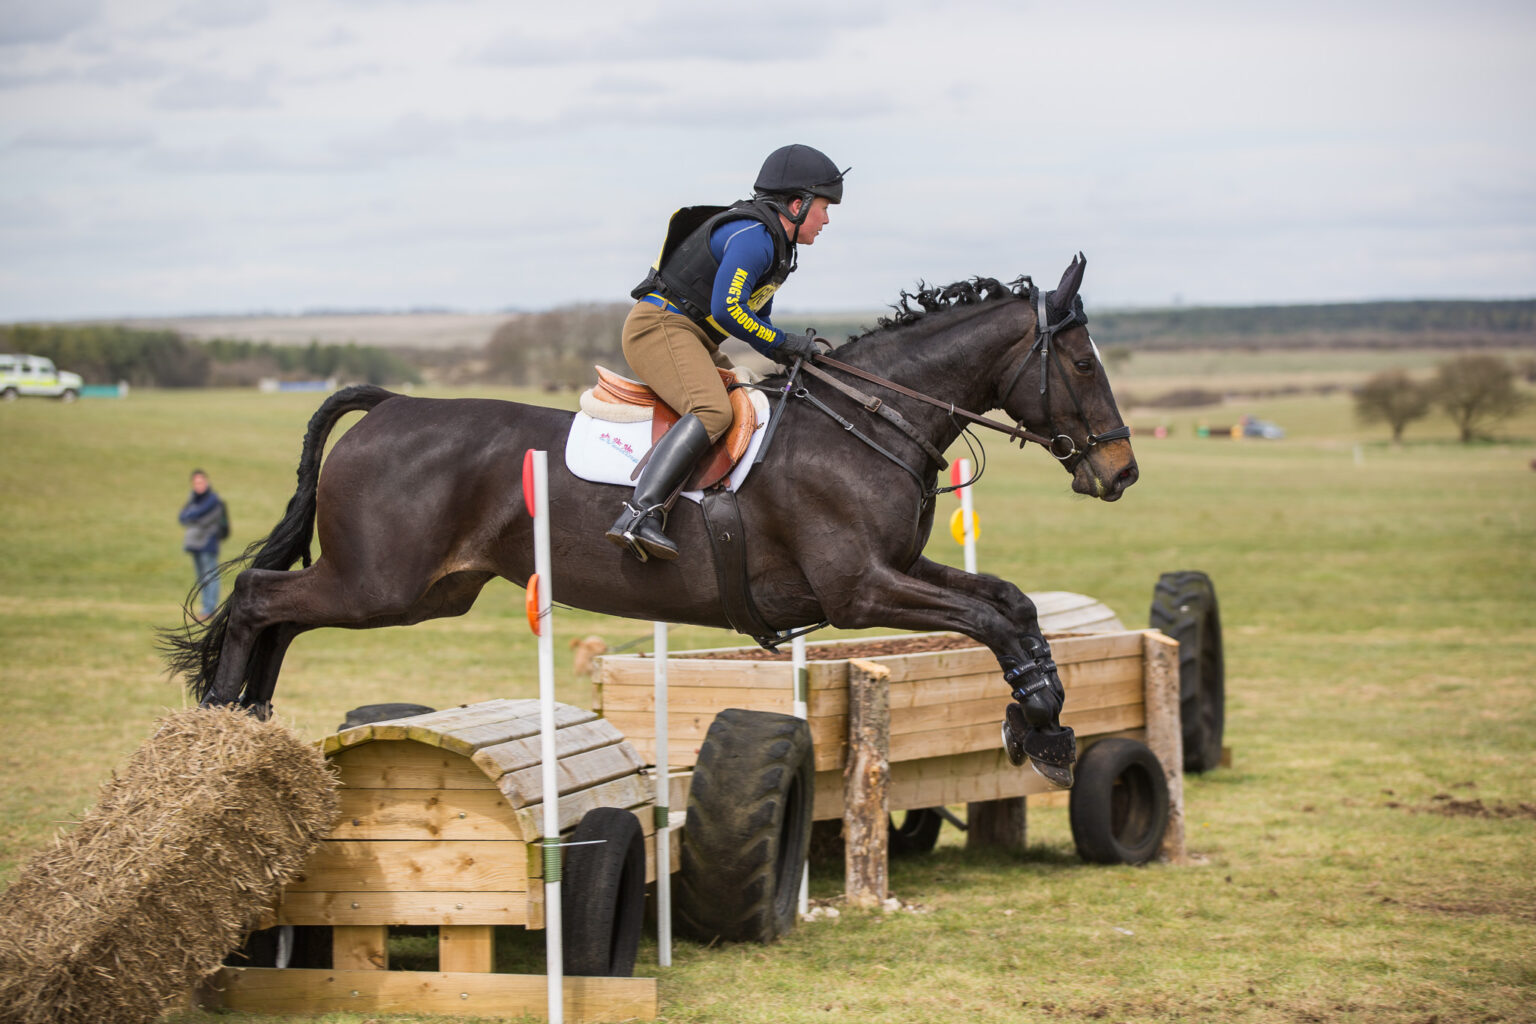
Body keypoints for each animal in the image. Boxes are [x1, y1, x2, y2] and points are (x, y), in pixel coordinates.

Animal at [168, 254, 1136, 786]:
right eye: (1085, 363)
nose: (1121, 471)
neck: (866, 420)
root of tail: (394, 403)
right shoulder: (861, 589)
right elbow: (987, 617)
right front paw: (1040, 721)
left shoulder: (896, 571)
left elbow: (1010, 604)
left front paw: (1045, 724)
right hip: (381, 583)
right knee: (257, 596)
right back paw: (220, 716)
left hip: (425, 592)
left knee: (282, 610)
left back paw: (246, 722)